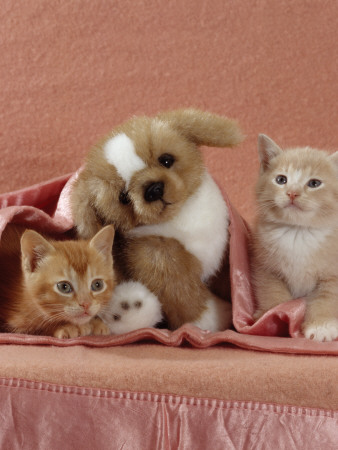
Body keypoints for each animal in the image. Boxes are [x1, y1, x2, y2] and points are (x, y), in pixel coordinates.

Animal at [250, 134, 338, 342]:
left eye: (314, 183)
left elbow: (327, 298)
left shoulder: (333, 275)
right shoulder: (265, 267)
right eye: (281, 179)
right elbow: (272, 293)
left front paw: (322, 325)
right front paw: (271, 318)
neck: (299, 232)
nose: (292, 193)